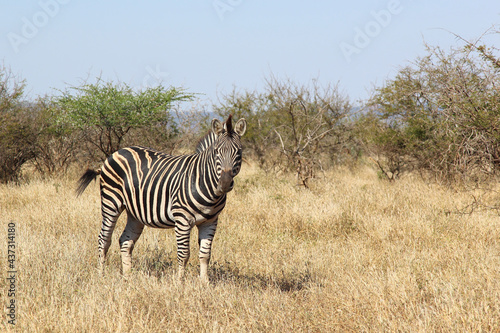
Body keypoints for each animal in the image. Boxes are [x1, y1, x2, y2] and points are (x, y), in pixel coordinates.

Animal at [75, 115, 246, 282]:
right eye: (217, 152)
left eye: (239, 152)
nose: (224, 184)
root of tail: (118, 151)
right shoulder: (182, 220)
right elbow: (184, 254)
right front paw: (180, 282)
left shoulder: (210, 222)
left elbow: (205, 255)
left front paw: (204, 283)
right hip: (110, 203)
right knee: (104, 239)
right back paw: (101, 275)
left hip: (135, 212)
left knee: (125, 241)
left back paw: (128, 277)